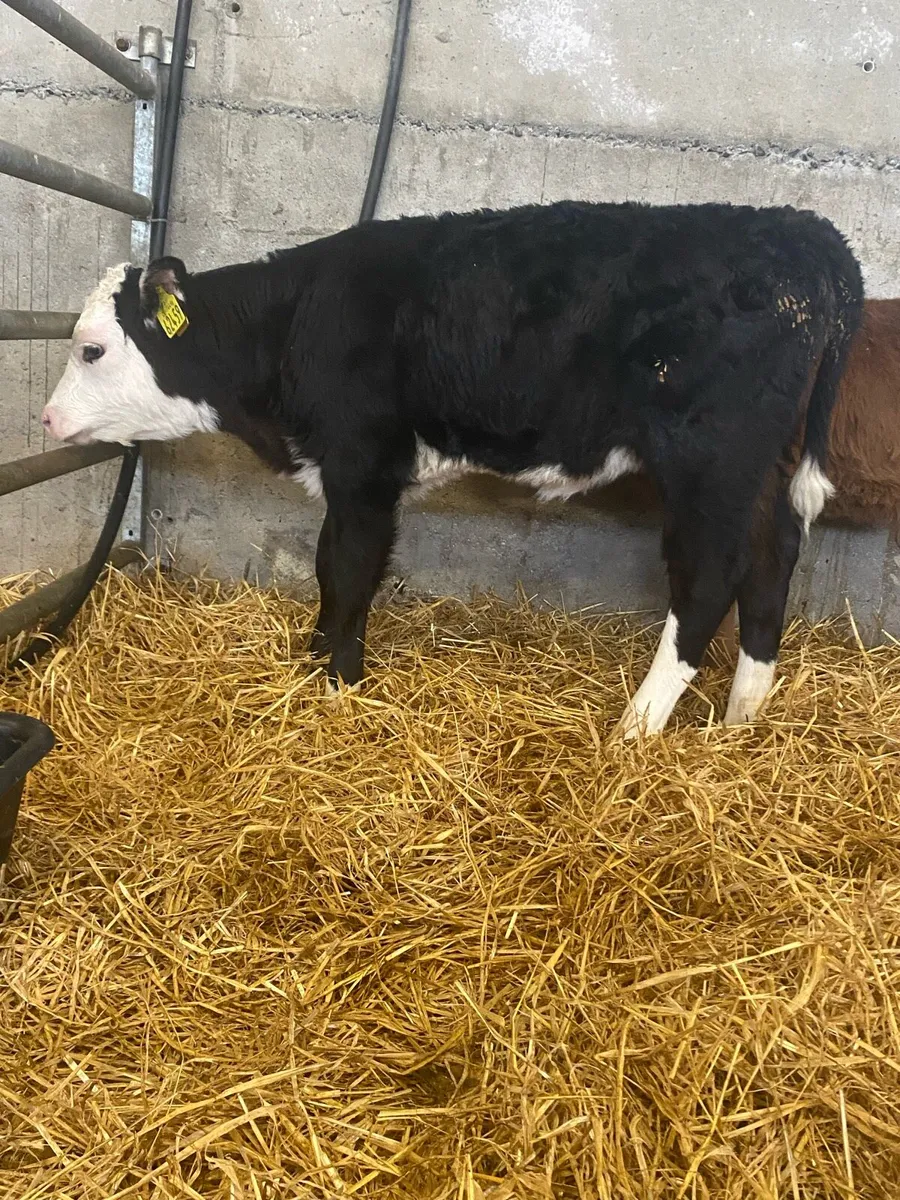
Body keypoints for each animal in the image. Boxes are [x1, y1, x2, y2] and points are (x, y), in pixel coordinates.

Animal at [41, 200, 864, 739]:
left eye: (92, 350)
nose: (46, 420)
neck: (296, 322)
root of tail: (805, 229)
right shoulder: (346, 472)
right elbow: (330, 565)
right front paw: (315, 660)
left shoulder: (365, 467)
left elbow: (349, 569)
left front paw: (337, 681)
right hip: (761, 467)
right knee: (773, 556)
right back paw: (743, 716)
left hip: (709, 460)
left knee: (710, 577)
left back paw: (637, 726)